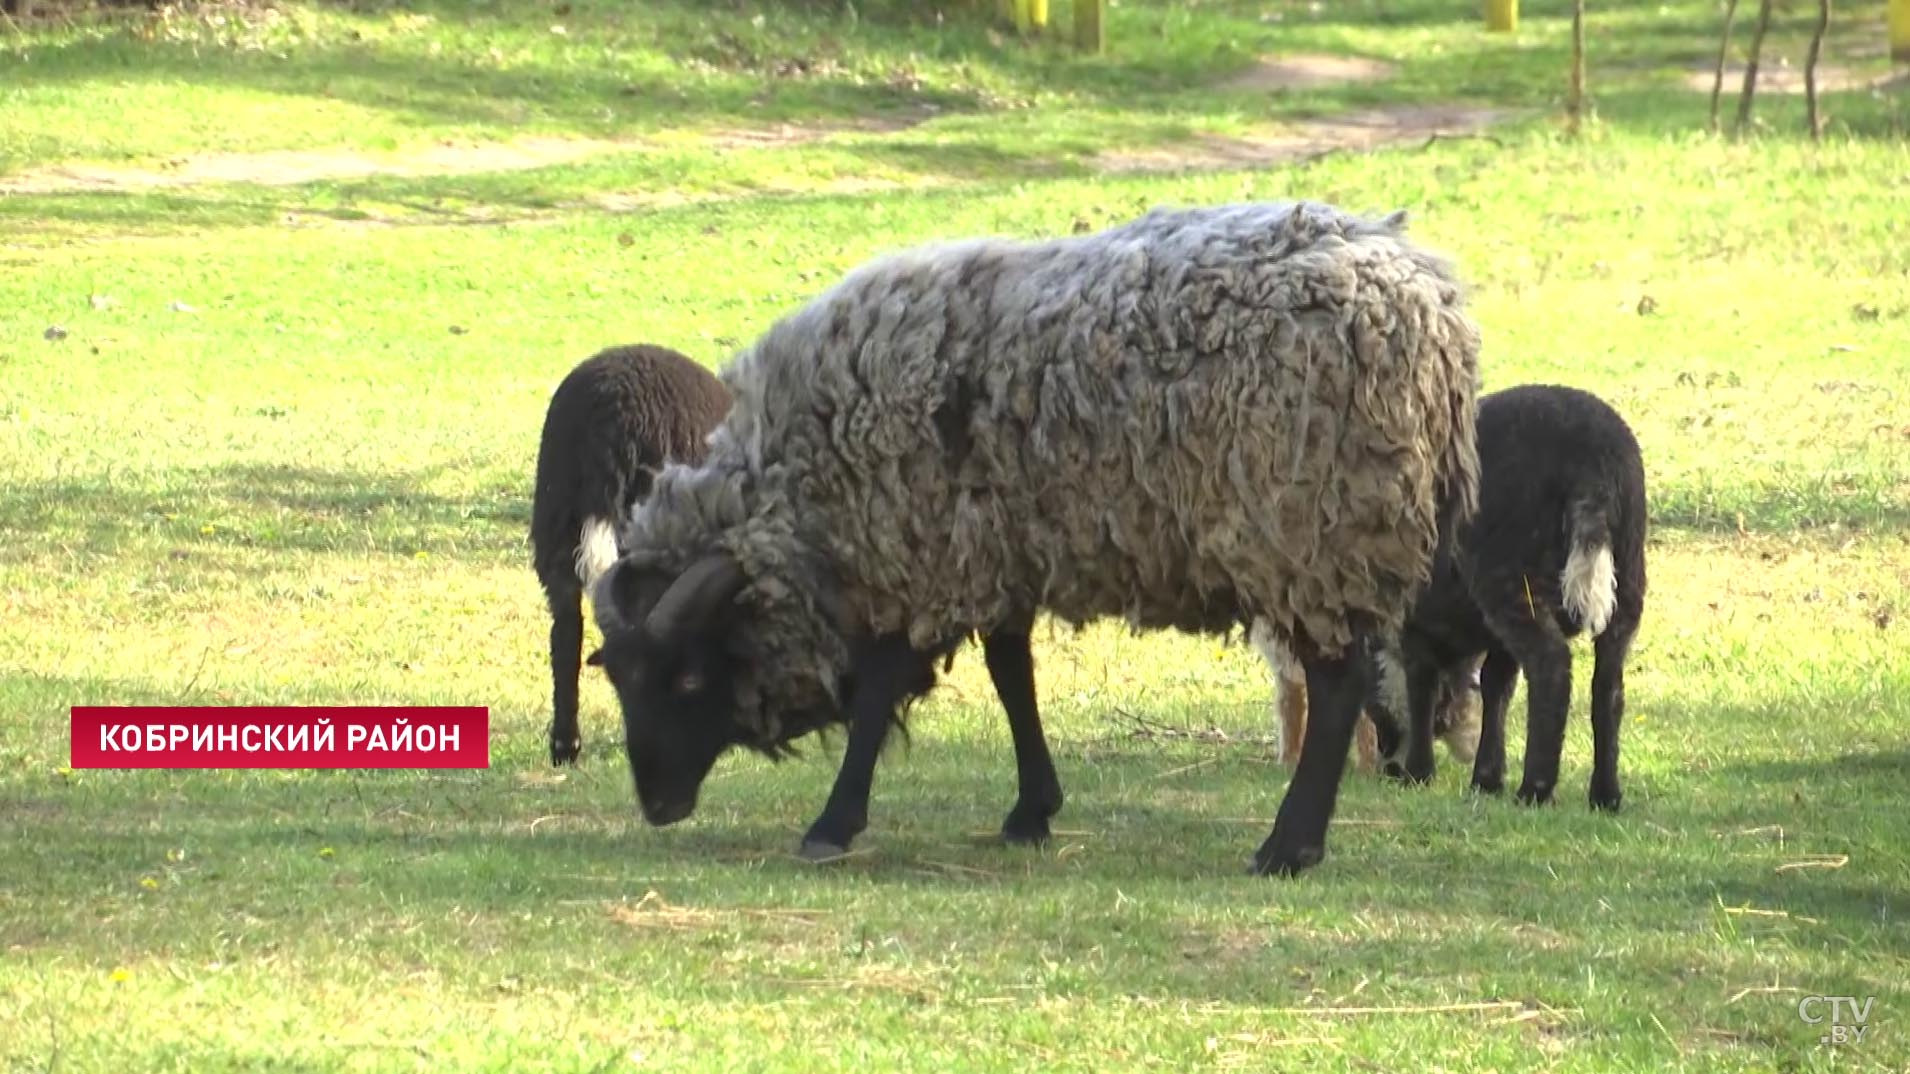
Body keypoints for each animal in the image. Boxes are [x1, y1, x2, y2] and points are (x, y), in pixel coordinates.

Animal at [588, 202, 1482, 879]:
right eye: (621, 680)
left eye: (690, 677)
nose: (657, 805)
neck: (803, 485)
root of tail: (1433, 310)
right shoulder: (994, 548)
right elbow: (1012, 675)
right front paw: (1031, 810)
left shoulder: (920, 556)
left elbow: (878, 694)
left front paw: (833, 824)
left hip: (1311, 535)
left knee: (1335, 690)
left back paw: (1288, 848)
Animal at [1359, 380, 1642, 806]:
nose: (1387, 770)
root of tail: (1594, 460)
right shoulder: (1491, 637)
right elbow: (1497, 687)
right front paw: (1486, 778)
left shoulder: (1416, 625)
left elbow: (1422, 688)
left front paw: (1419, 772)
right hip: (1627, 576)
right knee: (1608, 686)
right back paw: (1605, 795)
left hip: (1510, 577)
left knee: (1550, 666)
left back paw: (1535, 790)